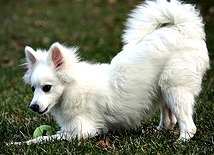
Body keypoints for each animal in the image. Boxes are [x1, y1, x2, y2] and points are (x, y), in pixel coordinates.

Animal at [13, 0, 209, 145]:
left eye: (47, 87)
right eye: (33, 89)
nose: (33, 107)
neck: (71, 89)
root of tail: (183, 29)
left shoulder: (80, 131)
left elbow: (41, 138)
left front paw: (18, 144)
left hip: (174, 88)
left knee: (189, 126)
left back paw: (181, 141)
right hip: (163, 90)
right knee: (169, 121)